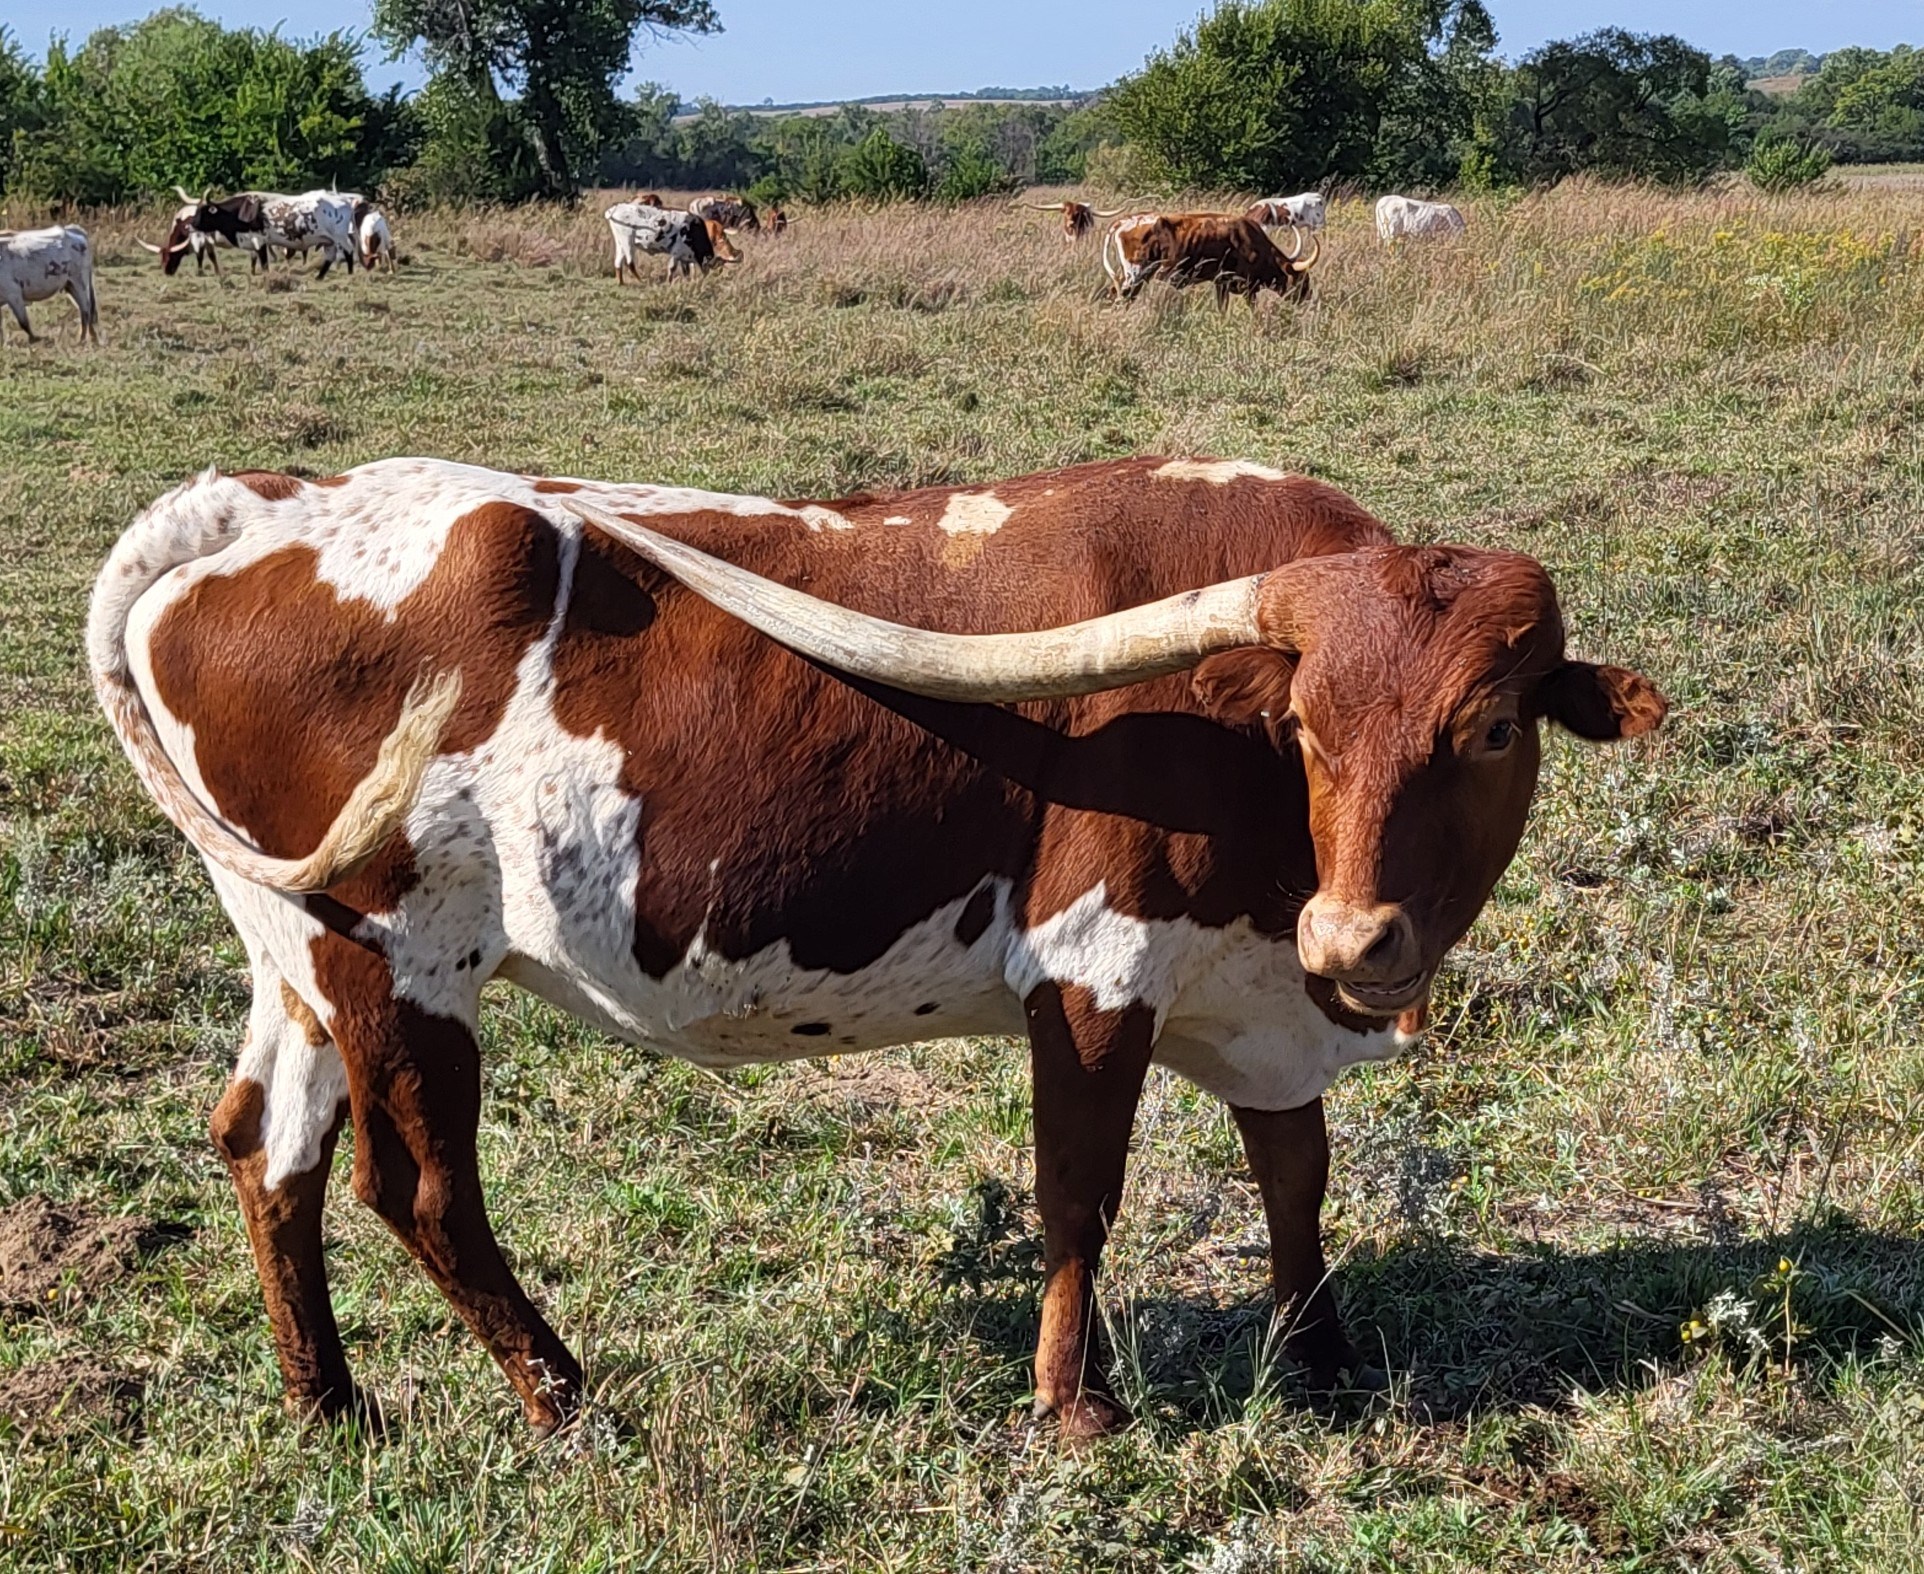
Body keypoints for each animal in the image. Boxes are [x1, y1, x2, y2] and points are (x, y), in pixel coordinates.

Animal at [88, 454, 1667, 1439]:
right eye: (1308, 726)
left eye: (1493, 727)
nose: (1357, 933)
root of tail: (258, 502)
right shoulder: (1095, 968)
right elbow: (1078, 1194)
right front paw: (1074, 1403)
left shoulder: (1261, 994)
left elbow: (1295, 1172)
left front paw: (1323, 1355)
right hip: (395, 961)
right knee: (417, 1188)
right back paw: (565, 1400)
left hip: (299, 954)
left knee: (265, 1149)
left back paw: (330, 1404)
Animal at [605, 202, 735, 281]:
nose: (706, 278)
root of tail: (616, 207)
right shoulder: (676, 252)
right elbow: (672, 268)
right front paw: (669, 283)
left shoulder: (684, 256)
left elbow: (686, 272)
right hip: (627, 240)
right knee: (630, 262)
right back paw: (640, 281)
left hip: (620, 242)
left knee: (618, 262)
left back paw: (621, 282)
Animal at [1103, 212, 1320, 308]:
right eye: (1302, 281)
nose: (1309, 300)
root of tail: (1124, 221)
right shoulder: (1247, 288)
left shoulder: (1221, 284)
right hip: (1135, 274)